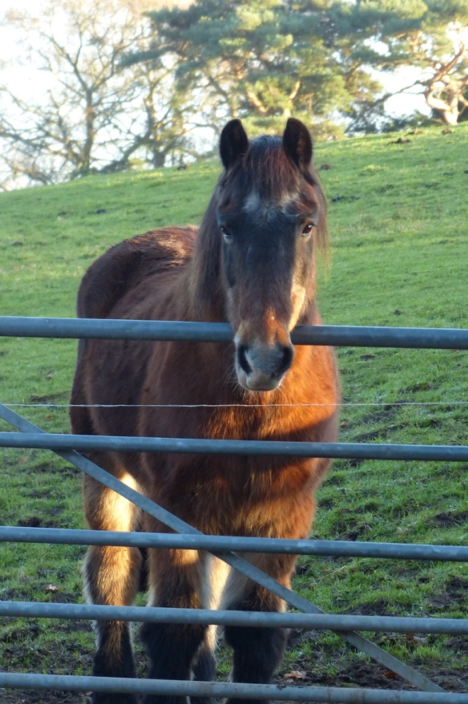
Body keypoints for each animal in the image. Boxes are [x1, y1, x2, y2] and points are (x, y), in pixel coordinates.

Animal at [70, 117, 340, 704]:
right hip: (105, 471)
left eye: (305, 224)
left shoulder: (282, 518)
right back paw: (112, 677)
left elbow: (255, 635)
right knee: (112, 574)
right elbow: (174, 631)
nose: (262, 358)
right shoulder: (180, 512)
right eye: (228, 226)